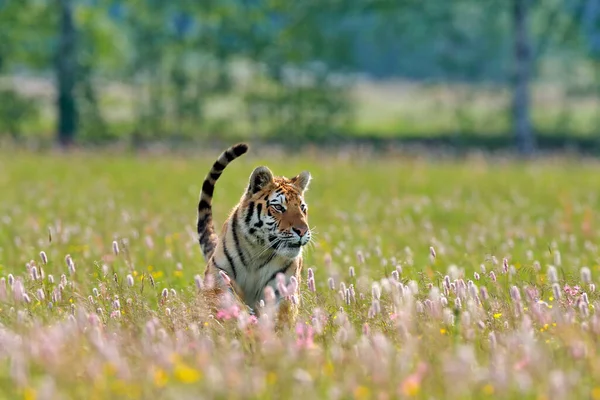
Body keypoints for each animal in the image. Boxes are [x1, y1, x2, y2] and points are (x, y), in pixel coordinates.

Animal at [198, 143, 312, 324]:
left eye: (302, 208)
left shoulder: (283, 286)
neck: (258, 251)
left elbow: (279, 315)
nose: (302, 231)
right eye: (278, 207)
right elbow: (229, 300)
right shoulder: (219, 275)